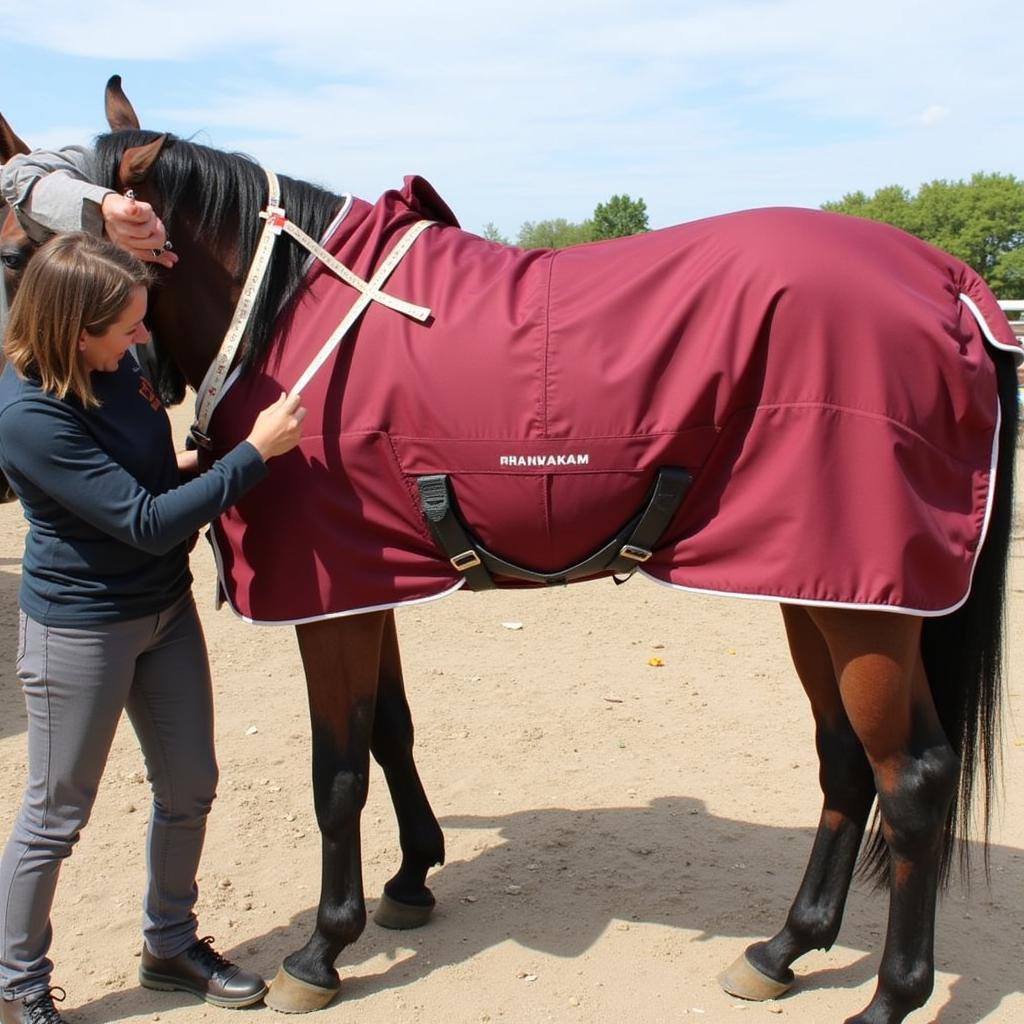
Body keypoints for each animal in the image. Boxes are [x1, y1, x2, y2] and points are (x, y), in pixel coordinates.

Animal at [9, 74, 1024, 1024]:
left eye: (21, 248)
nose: (22, 403)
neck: (293, 312)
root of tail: (950, 282)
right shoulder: (373, 583)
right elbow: (390, 730)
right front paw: (412, 878)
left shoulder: (327, 603)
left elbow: (337, 773)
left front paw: (322, 950)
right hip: (819, 590)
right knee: (846, 759)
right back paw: (783, 950)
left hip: (862, 608)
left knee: (913, 778)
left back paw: (891, 994)